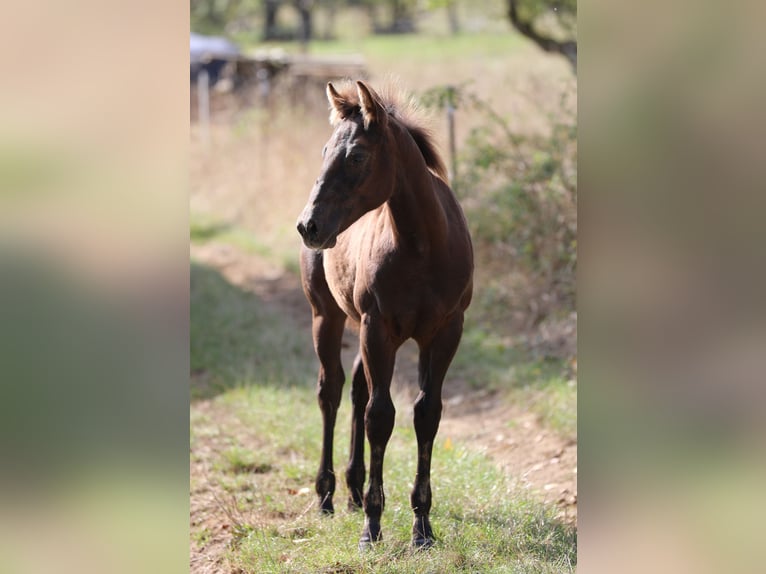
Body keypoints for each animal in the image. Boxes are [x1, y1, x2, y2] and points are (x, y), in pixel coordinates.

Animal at [296, 79, 472, 552]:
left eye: (356, 156)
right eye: (324, 150)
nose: (308, 226)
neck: (423, 247)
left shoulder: (445, 333)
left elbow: (426, 414)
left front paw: (422, 527)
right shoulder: (380, 331)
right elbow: (381, 417)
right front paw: (372, 526)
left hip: (361, 327)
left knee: (357, 388)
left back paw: (354, 490)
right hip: (327, 317)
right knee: (332, 391)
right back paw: (328, 495)